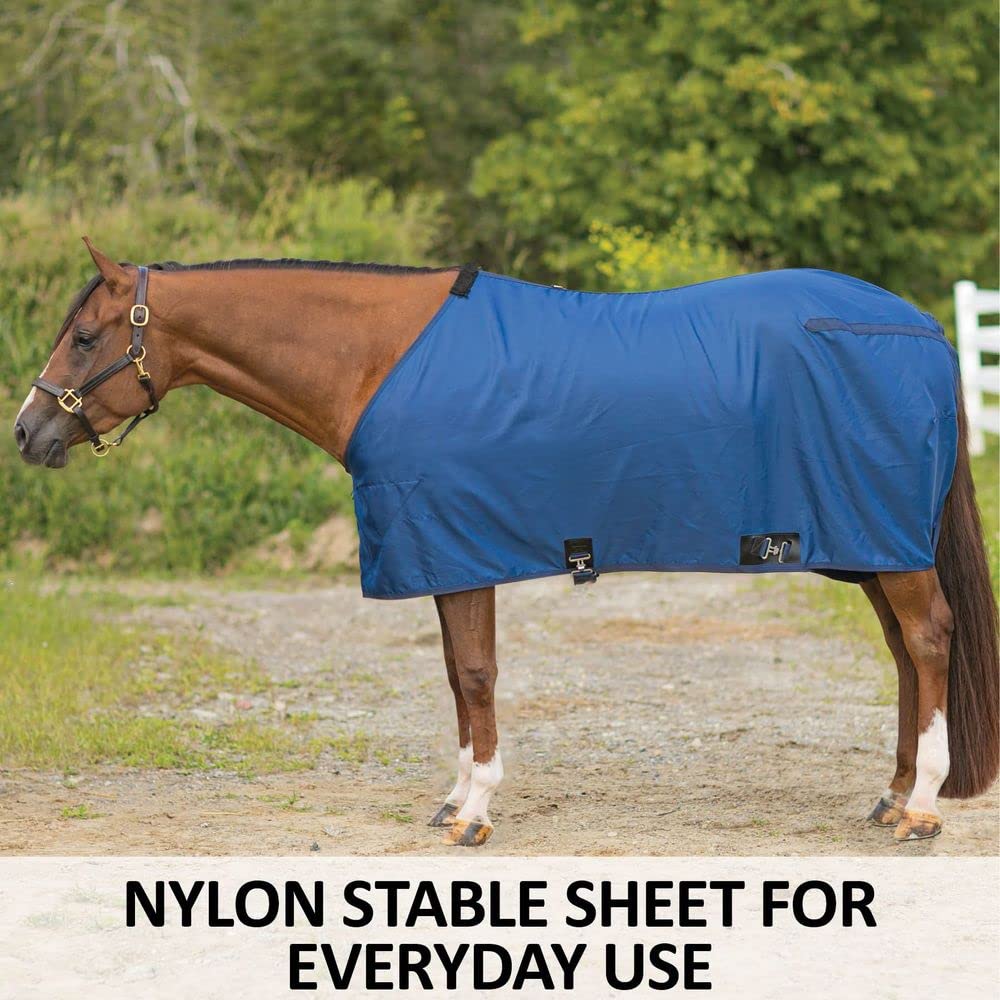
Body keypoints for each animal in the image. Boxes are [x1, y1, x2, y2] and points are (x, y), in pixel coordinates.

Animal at [14, 238, 998, 847]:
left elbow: (477, 676)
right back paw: (891, 797)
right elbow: (457, 677)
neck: (379, 360)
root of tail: (919, 326)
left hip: (886, 545)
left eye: (87, 336)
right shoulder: (446, 552)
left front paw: (475, 812)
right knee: (904, 653)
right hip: (865, 545)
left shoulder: (459, 548)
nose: (27, 432)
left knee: (928, 639)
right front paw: (453, 798)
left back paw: (920, 810)